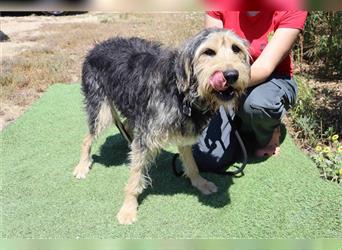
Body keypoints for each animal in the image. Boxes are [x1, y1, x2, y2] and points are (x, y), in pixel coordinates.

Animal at [73, 27, 250, 225]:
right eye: (208, 52)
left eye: (236, 49)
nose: (232, 75)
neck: (181, 92)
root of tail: (96, 47)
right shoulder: (146, 135)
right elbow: (135, 175)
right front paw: (128, 208)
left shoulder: (184, 133)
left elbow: (192, 165)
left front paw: (200, 183)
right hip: (101, 110)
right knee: (87, 138)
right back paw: (82, 166)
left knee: (127, 126)